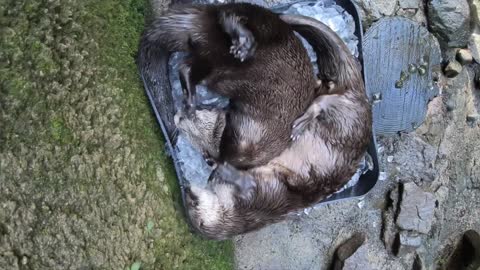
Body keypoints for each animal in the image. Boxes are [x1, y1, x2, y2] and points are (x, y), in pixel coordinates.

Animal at [137, 2, 322, 169]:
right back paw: (244, 42)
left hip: (210, 64)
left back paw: (190, 96)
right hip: (262, 21)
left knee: (186, 67)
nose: (181, 115)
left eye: (201, 113)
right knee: (229, 15)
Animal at [174, 13, 374, 239]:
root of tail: (361, 95)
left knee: (325, 103)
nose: (187, 189)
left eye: (193, 202)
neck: (250, 209)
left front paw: (221, 170)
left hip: (346, 114)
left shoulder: (261, 189)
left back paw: (303, 121)